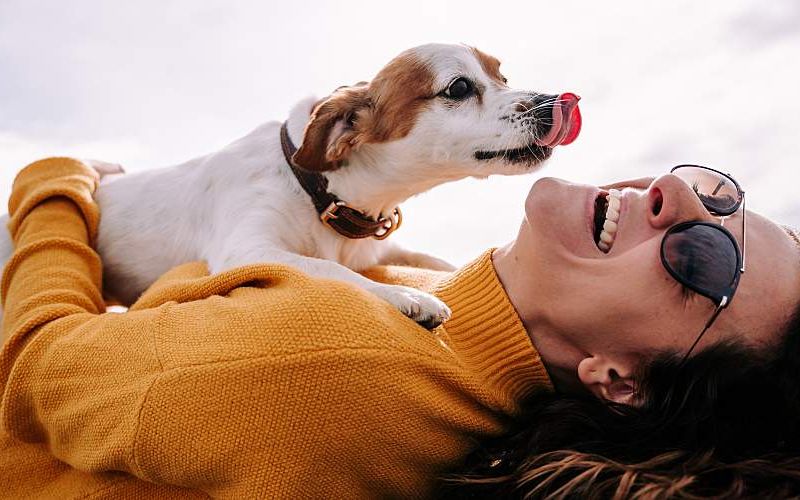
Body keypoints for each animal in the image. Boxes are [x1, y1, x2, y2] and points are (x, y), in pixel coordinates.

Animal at [3, 42, 584, 324]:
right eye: (459, 88)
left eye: (503, 76)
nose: (552, 102)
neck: (321, 192)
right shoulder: (247, 249)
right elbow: (330, 271)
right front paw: (404, 297)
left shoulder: (380, 247)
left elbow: (432, 260)